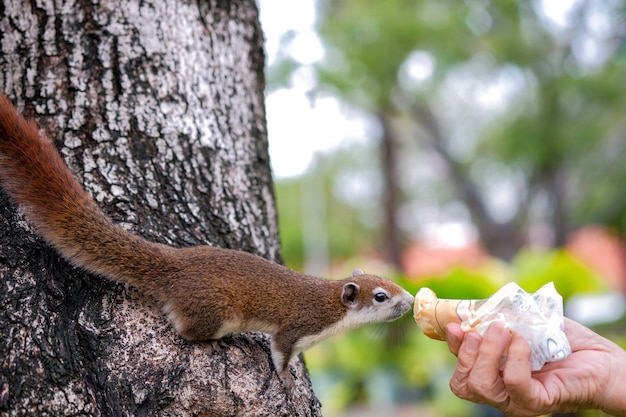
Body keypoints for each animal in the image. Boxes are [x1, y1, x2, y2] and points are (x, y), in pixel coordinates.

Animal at [0, 94, 414, 380]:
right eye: (381, 296)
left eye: (391, 282)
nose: (411, 301)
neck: (331, 307)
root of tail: (175, 265)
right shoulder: (295, 328)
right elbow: (281, 355)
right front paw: (286, 382)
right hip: (213, 310)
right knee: (188, 330)